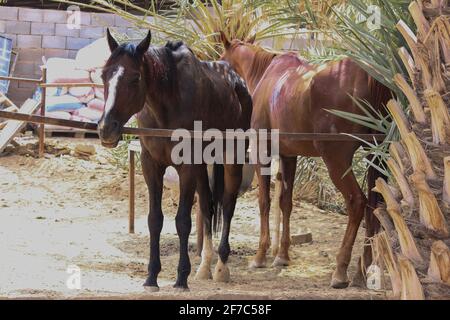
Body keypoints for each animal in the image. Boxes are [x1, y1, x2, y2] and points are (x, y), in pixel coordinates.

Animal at [99, 29, 253, 290]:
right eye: (103, 76)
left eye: (135, 78)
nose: (106, 129)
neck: (166, 105)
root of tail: (237, 81)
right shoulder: (151, 165)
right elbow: (155, 219)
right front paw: (152, 276)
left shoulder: (187, 167)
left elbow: (182, 221)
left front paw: (181, 276)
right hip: (203, 166)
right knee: (208, 206)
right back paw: (205, 266)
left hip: (232, 159)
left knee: (228, 206)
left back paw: (221, 267)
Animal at [221, 34, 390, 288]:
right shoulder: (289, 156)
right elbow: (285, 202)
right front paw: (282, 256)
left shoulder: (263, 151)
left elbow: (264, 202)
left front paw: (260, 256)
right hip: (376, 155)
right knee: (374, 204)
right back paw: (364, 270)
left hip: (336, 160)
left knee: (357, 202)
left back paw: (341, 270)